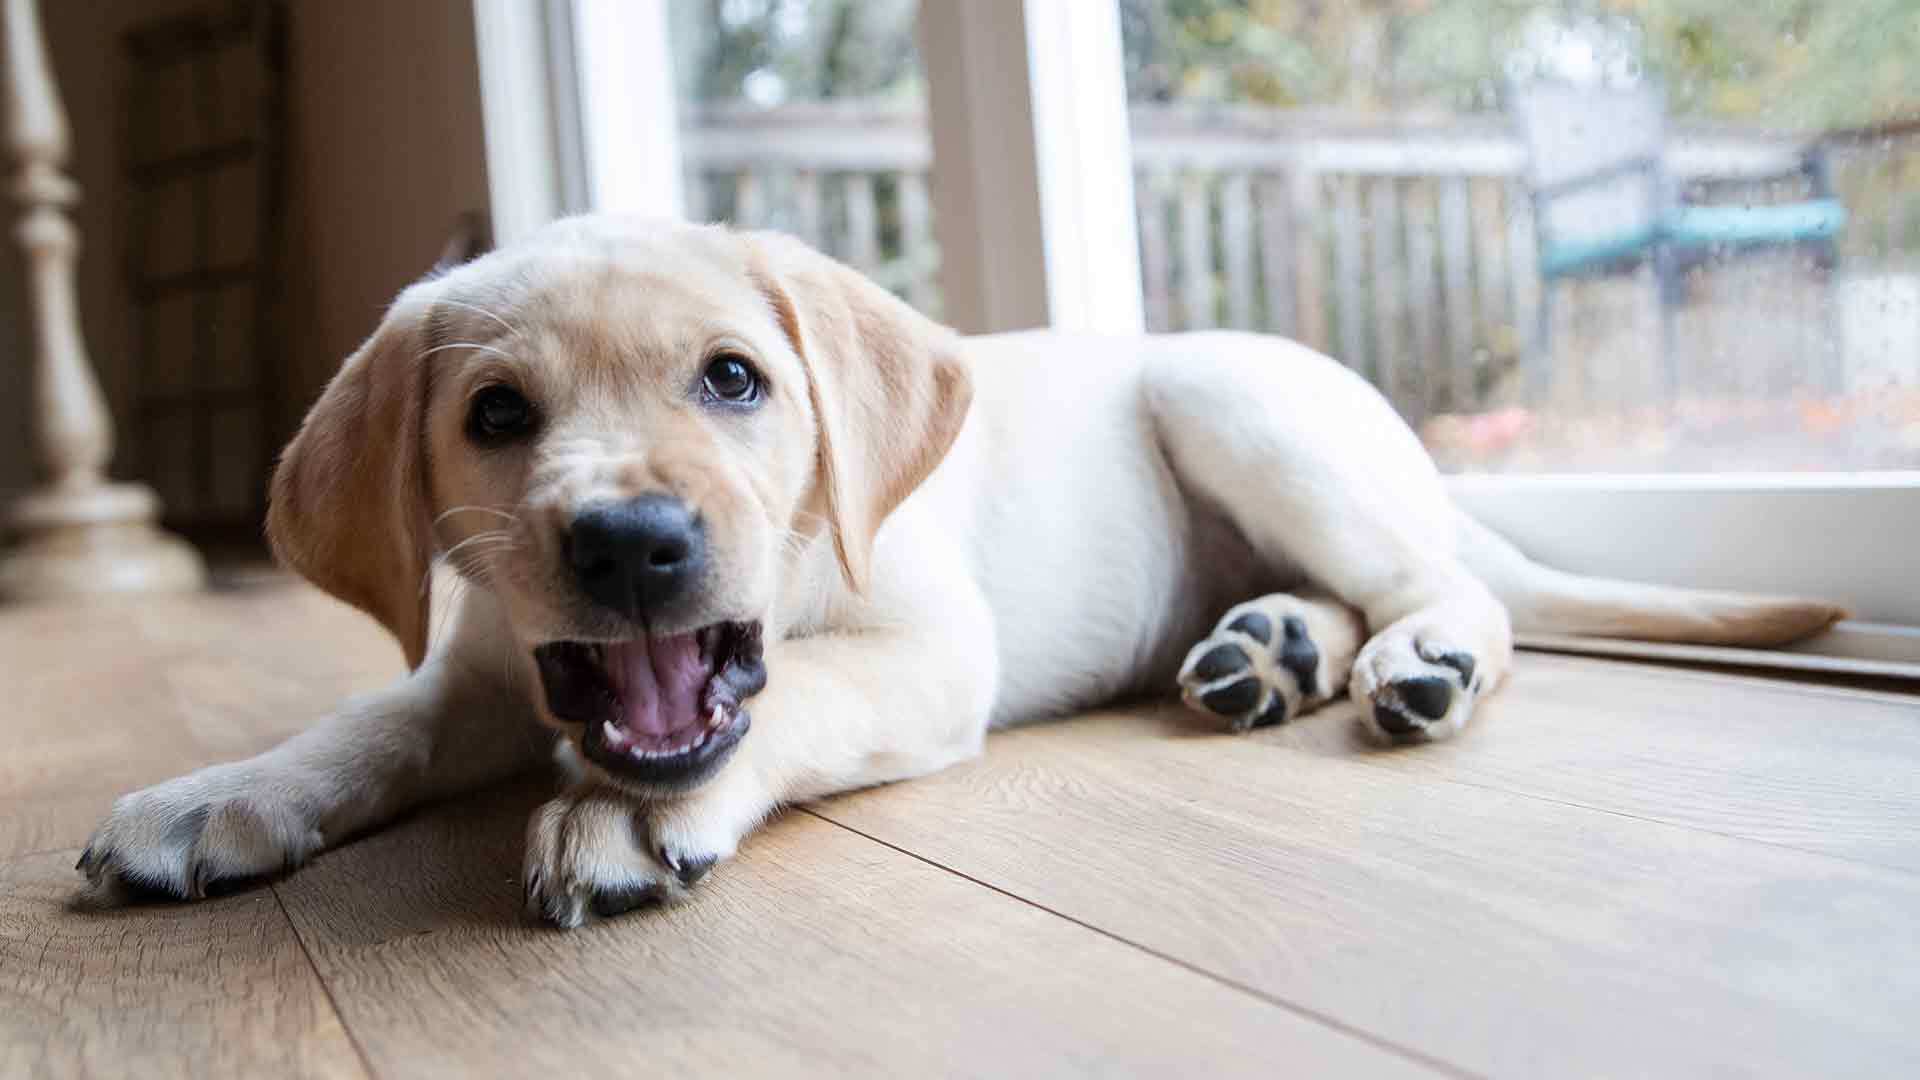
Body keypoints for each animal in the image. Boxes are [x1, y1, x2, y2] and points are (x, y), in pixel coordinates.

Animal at [78, 214, 1843, 922]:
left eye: (735, 381)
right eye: (495, 416)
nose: (634, 542)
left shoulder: (928, 652)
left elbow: (794, 698)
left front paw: (622, 817)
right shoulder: (487, 670)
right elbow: (367, 724)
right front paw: (218, 794)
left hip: (1229, 397)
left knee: (1437, 590)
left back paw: (1423, 661)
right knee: (1343, 597)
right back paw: (1268, 648)